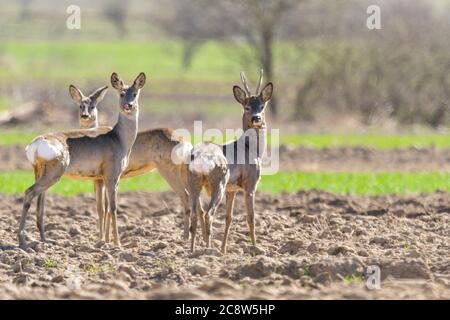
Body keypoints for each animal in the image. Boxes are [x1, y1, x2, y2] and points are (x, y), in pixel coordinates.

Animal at [18, 73, 146, 250]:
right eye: (121, 93)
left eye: (135, 93)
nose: (129, 105)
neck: (119, 138)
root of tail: (37, 143)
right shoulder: (112, 177)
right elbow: (113, 208)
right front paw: (117, 244)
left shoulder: (101, 179)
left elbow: (103, 208)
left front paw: (104, 241)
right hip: (53, 174)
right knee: (29, 192)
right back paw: (23, 242)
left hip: (40, 173)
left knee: (40, 205)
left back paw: (44, 241)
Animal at [220, 70, 272, 255]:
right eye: (247, 107)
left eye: (262, 106)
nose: (256, 118)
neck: (253, 151)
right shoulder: (250, 183)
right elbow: (251, 217)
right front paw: (256, 248)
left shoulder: (232, 189)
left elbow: (228, 218)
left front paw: (223, 249)